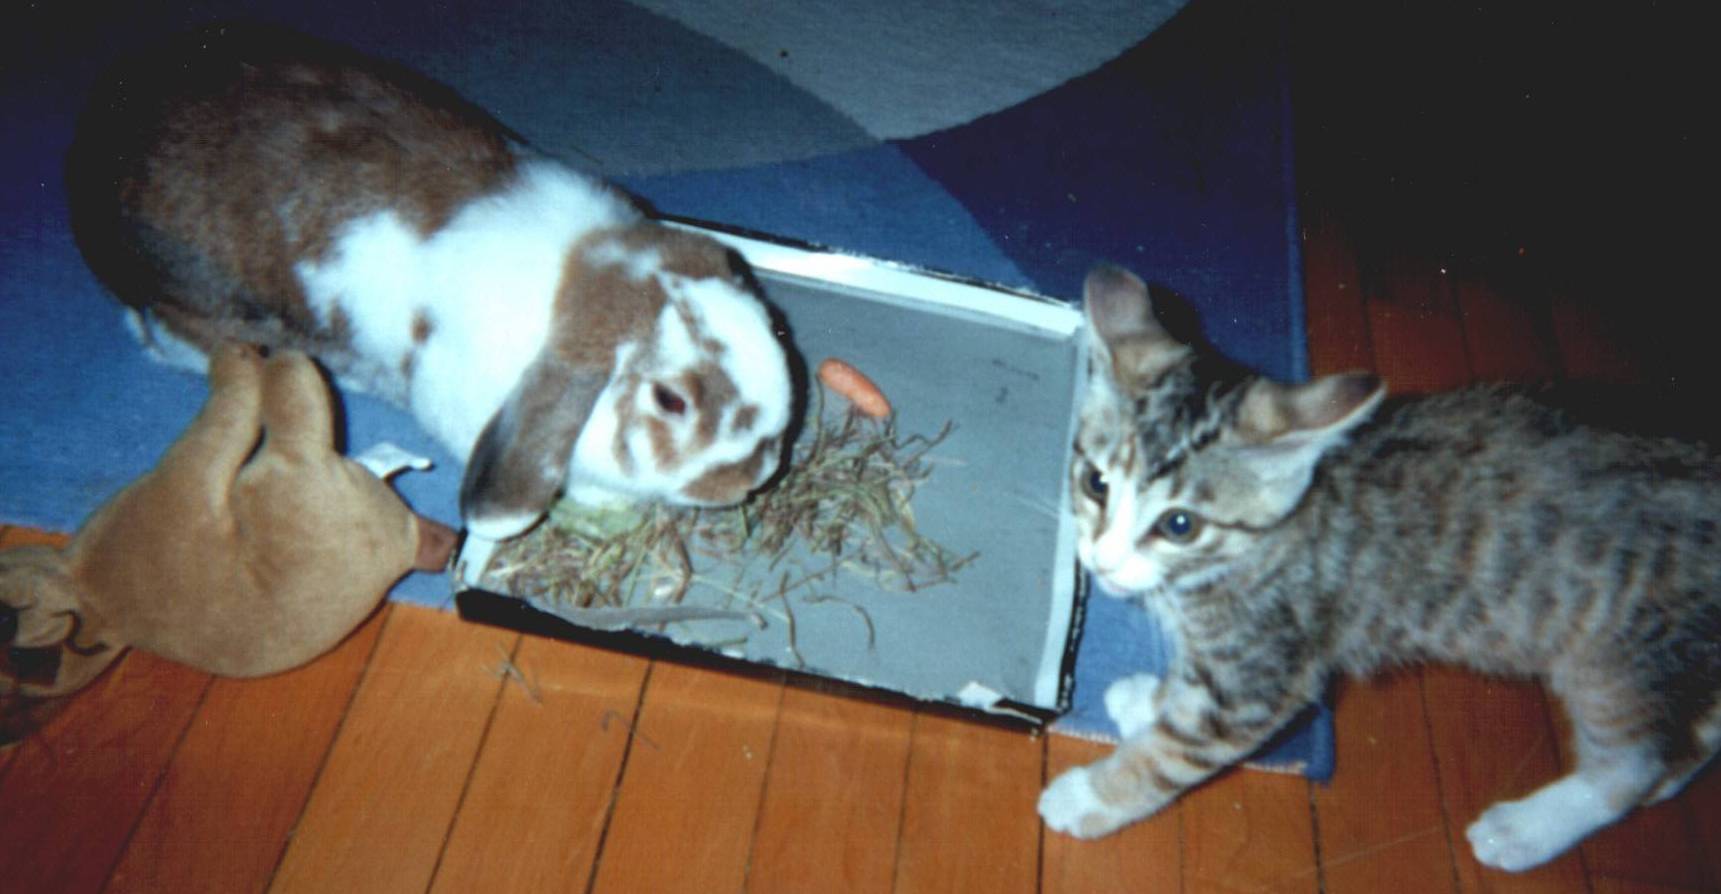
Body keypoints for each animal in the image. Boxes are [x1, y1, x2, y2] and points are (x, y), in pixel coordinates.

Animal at [64, 22, 796, 542]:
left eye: (775, 327)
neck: (574, 274)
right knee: (172, 338)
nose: (755, 475)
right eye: (671, 401)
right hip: (198, 305)